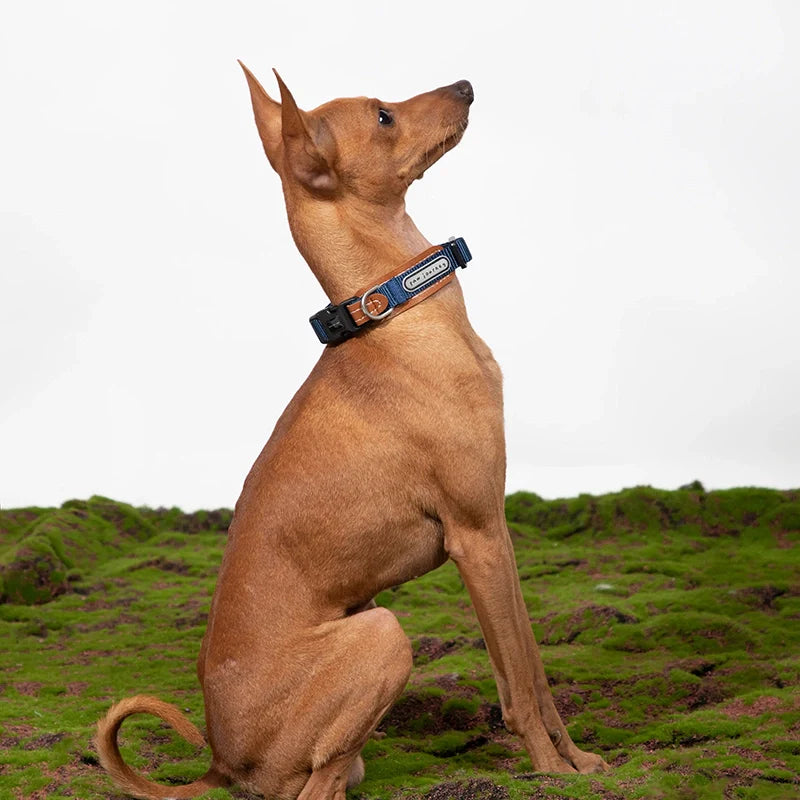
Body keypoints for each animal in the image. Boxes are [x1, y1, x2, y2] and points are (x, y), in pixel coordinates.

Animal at [92, 64, 608, 800]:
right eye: (384, 116)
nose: (466, 84)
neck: (391, 315)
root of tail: (219, 757)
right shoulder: (477, 534)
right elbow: (522, 686)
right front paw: (551, 771)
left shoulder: (497, 530)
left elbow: (529, 671)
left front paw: (576, 760)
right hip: (384, 633)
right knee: (316, 788)